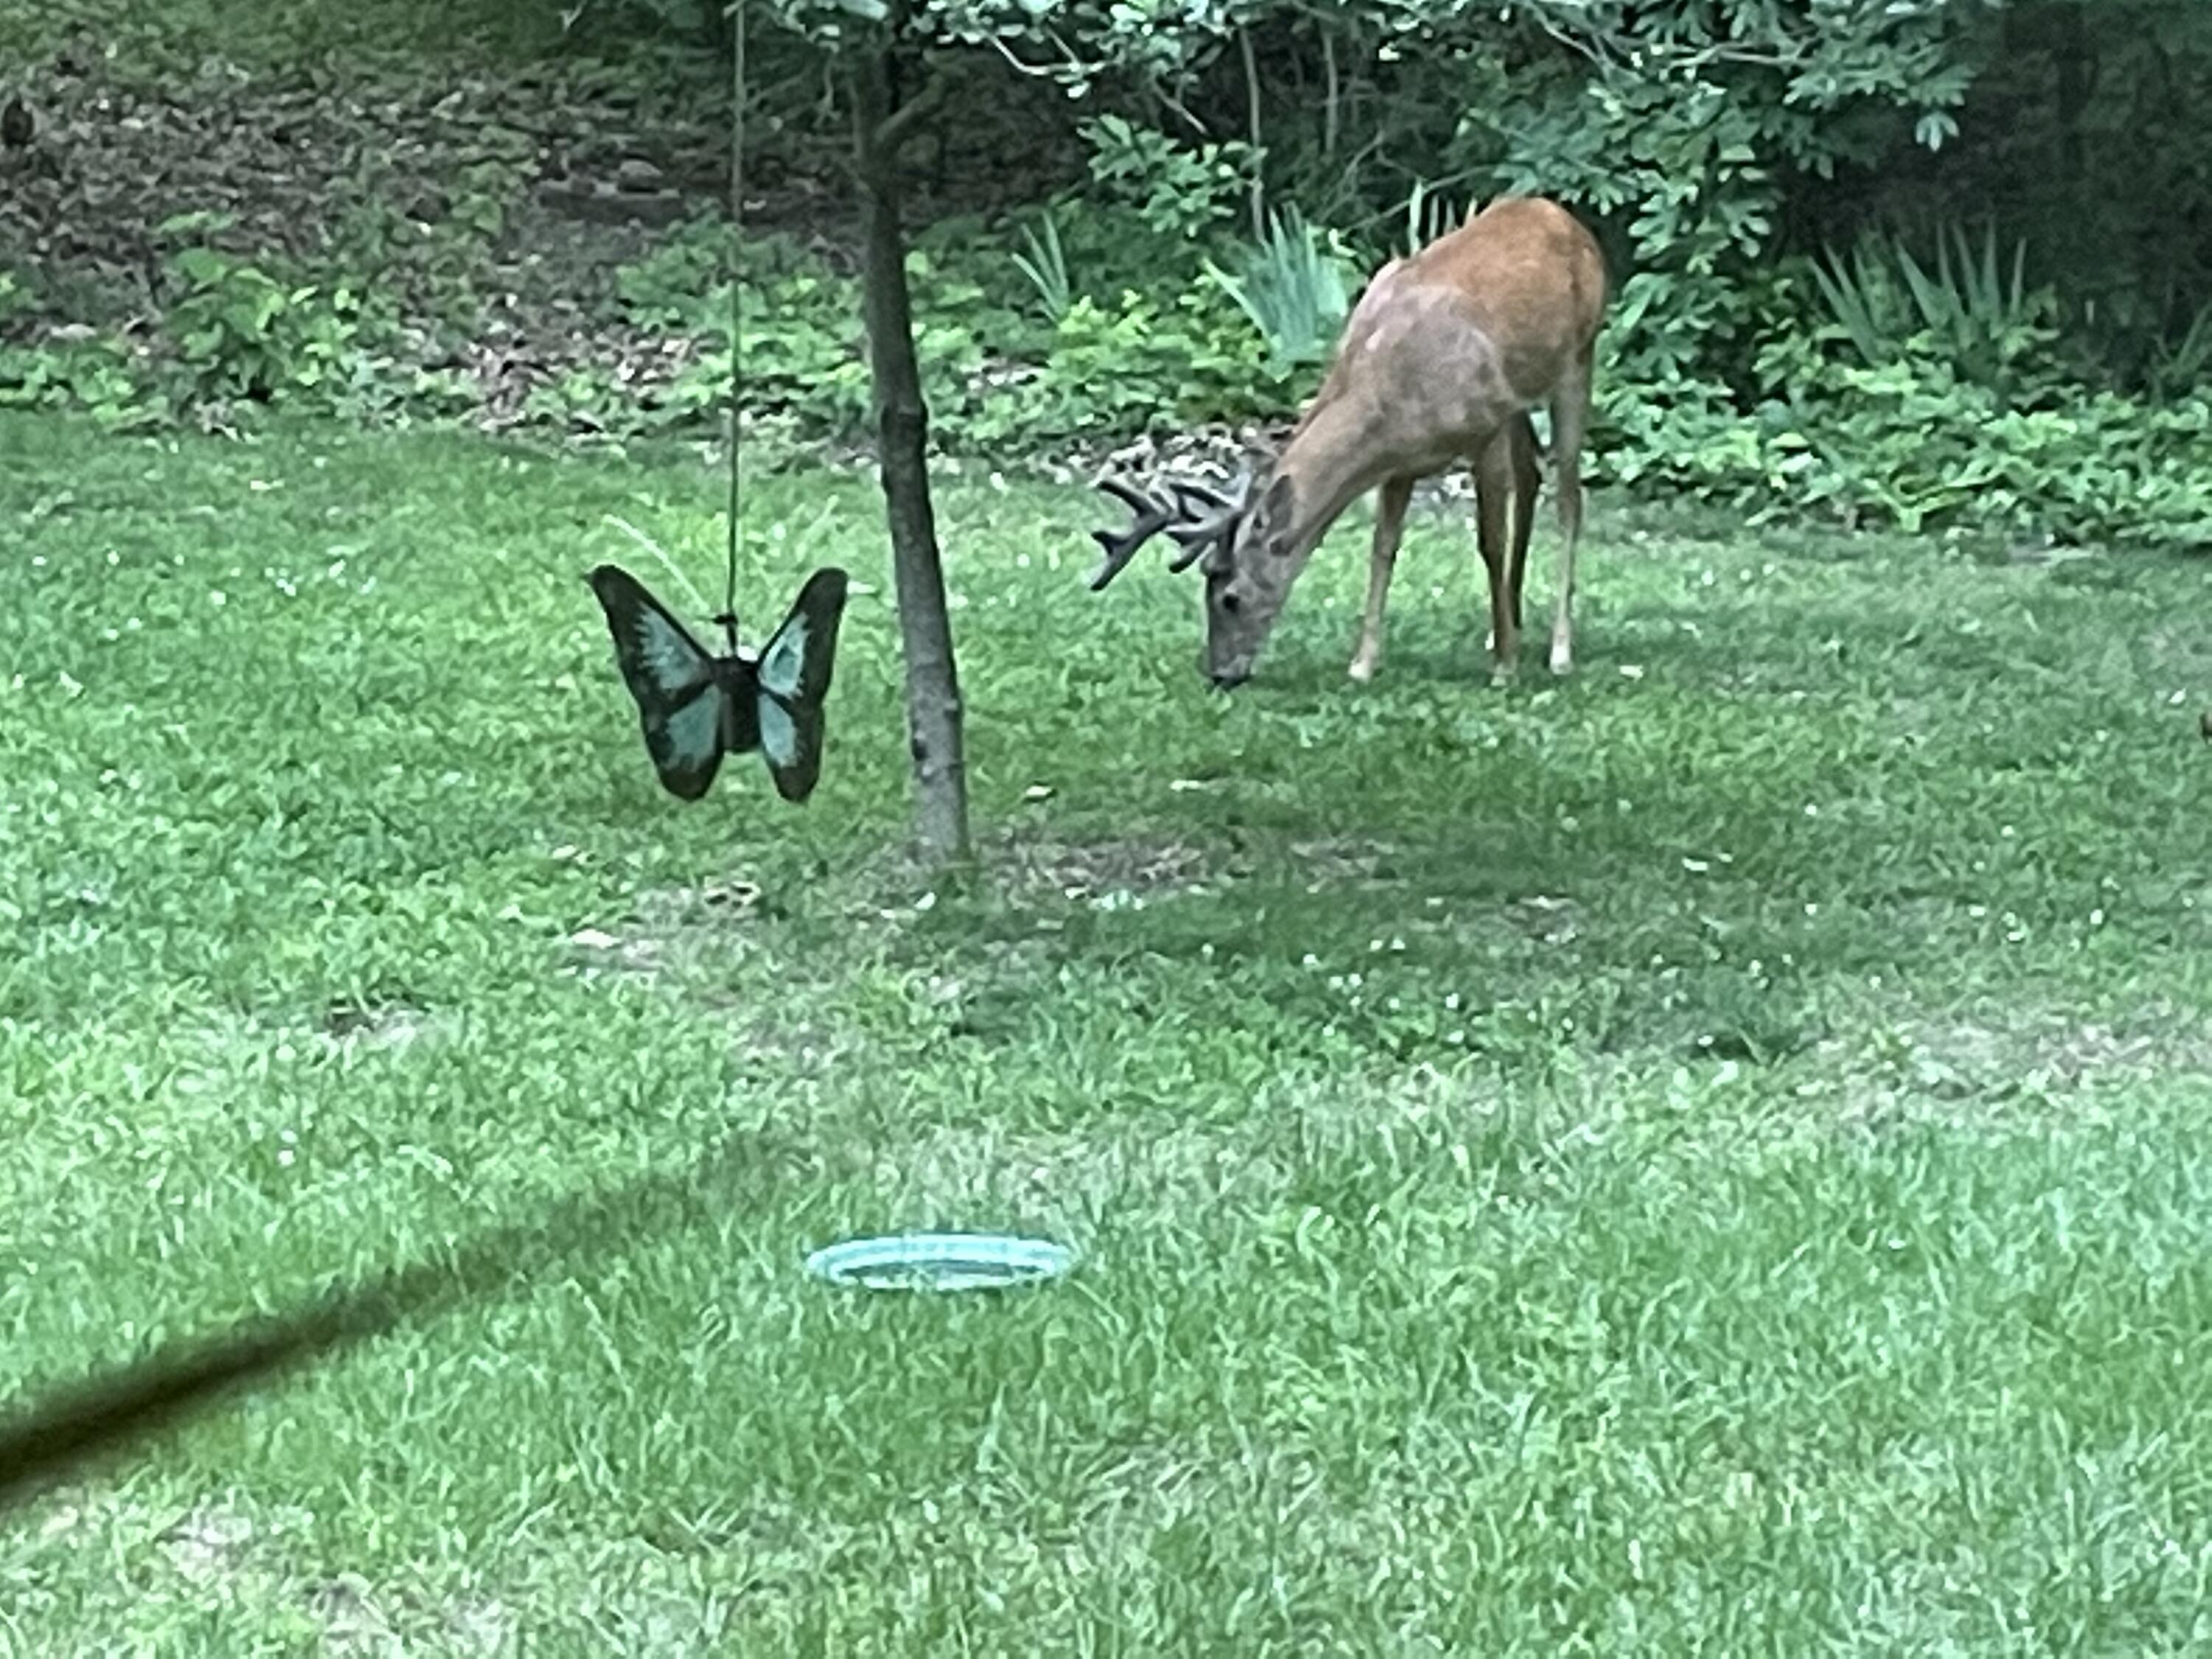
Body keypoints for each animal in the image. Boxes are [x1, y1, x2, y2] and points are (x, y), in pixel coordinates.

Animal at [1086, 195, 1607, 690]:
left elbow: (1490, 542)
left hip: (1578, 360)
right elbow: (1383, 547)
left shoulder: (1486, 429)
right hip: (1525, 390)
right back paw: (1507, 624)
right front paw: (1363, 663)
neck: (1391, 386)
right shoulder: (1400, 460)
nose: (1219, 673)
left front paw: (1505, 666)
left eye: (1230, 598)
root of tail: (1562, 216)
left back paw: (1558, 650)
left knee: (1569, 497)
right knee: (1533, 474)